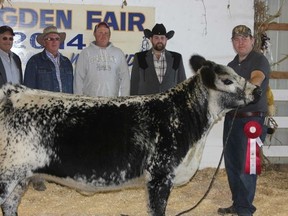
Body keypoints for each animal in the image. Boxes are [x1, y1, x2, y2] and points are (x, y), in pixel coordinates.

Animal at [0, 56, 260, 216]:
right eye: (227, 80)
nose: (257, 90)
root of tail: (11, 93)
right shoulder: (159, 176)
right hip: (7, 175)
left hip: (20, 178)